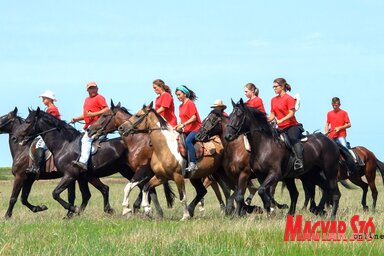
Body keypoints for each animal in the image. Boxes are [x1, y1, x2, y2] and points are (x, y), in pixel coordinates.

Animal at [10, 107, 140, 217]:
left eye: (27, 121)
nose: (14, 138)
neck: (64, 144)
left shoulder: (69, 175)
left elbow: (56, 193)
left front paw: (73, 210)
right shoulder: (77, 176)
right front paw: (73, 213)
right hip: (117, 172)